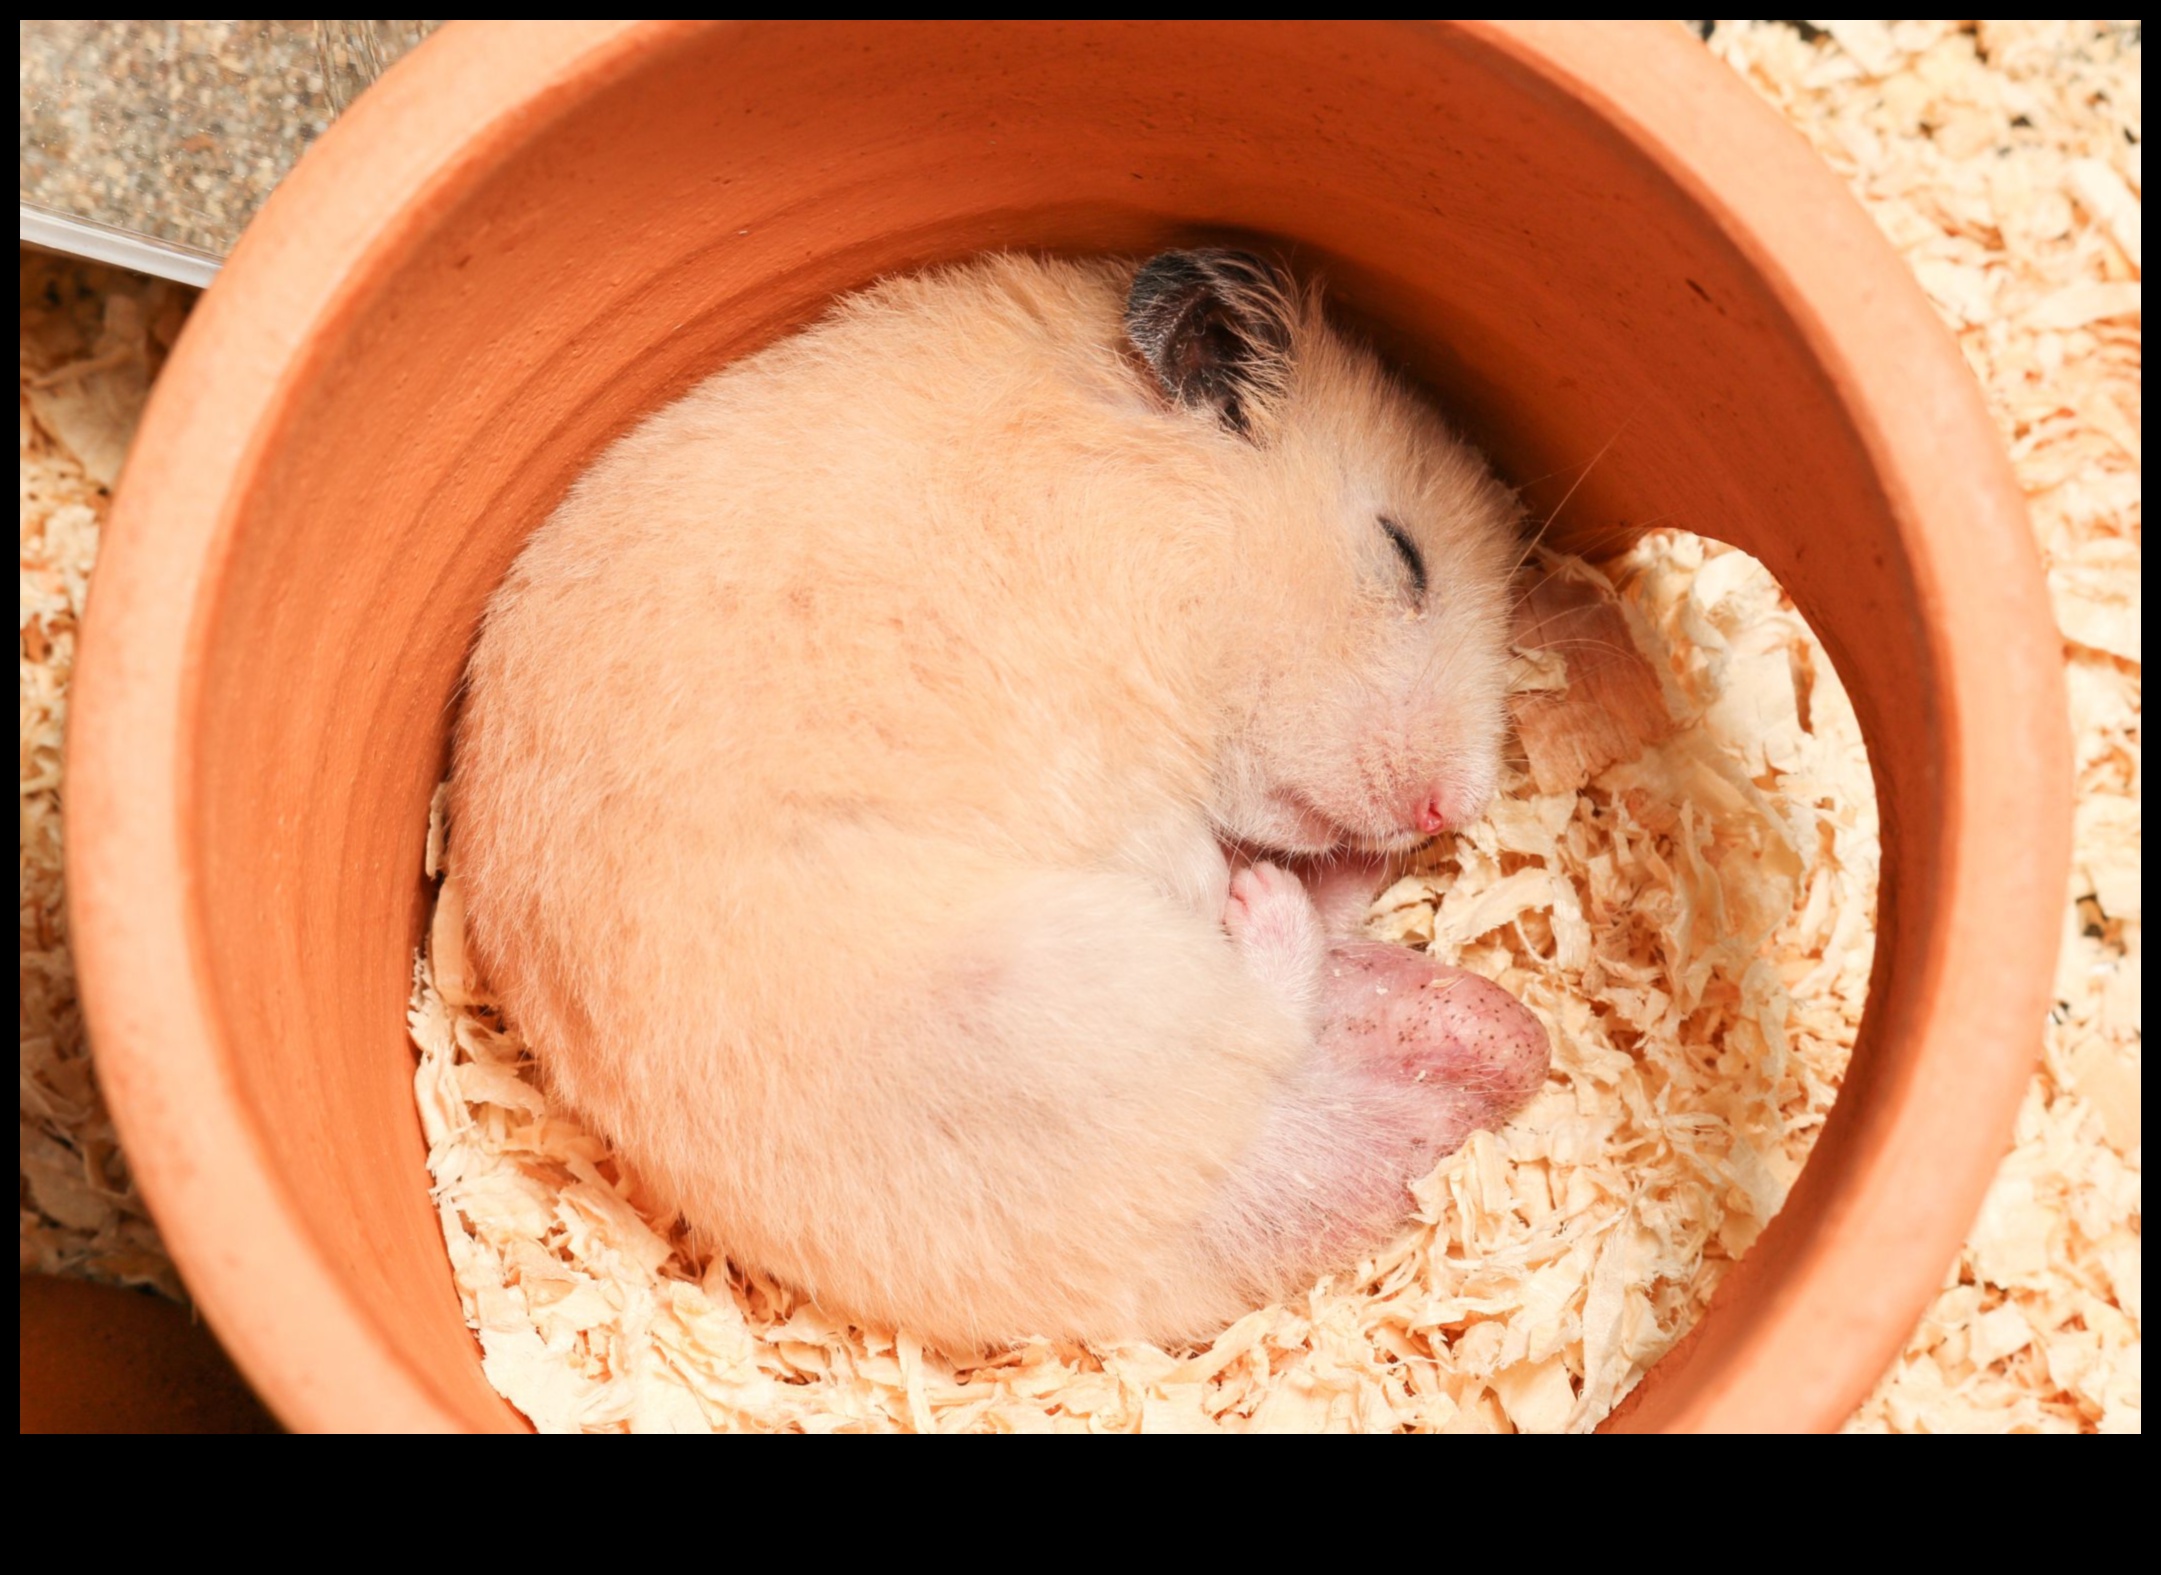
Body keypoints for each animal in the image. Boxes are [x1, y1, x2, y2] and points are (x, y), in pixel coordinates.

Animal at [451, 249, 1548, 1350]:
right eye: (1403, 555)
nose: (1449, 811)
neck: (1149, 522)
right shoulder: (1110, 749)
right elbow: (1180, 851)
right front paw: (1234, 875)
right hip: (1059, 987)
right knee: (1268, 1014)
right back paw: (1267, 903)